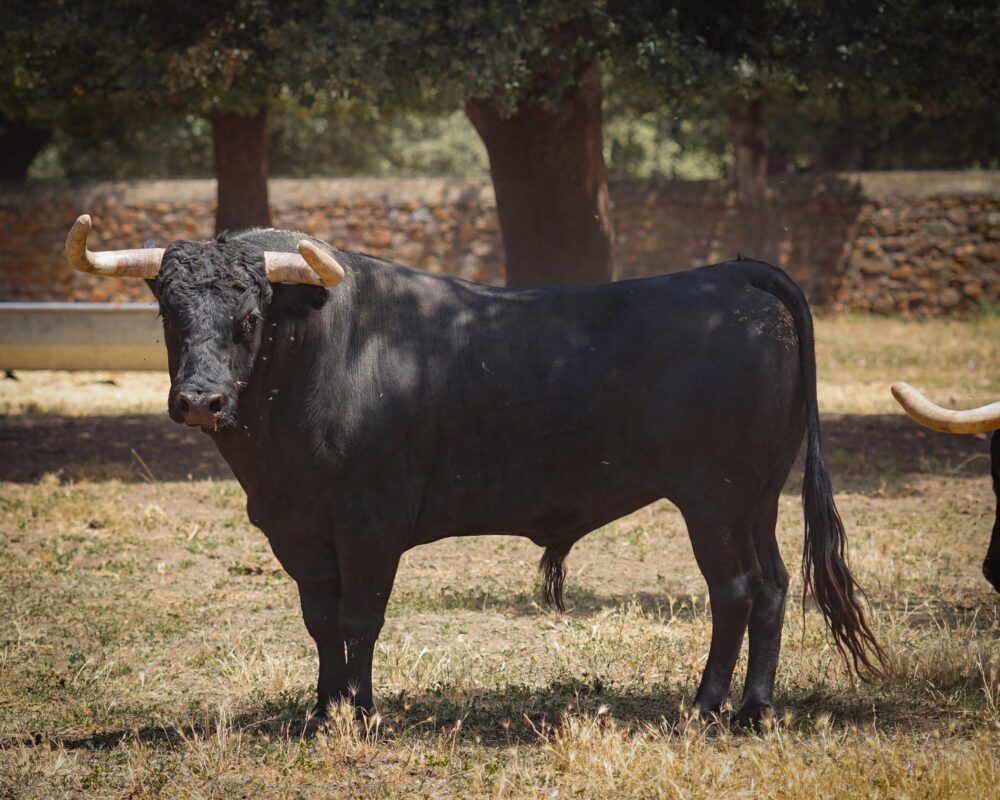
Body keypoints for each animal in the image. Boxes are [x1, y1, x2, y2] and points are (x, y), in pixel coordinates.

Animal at [143, 228, 884, 728]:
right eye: (169, 317)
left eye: (249, 318)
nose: (201, 401)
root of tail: (735, 275)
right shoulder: (297, 527)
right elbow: (322, 618)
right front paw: (326, 712)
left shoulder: (370, 520)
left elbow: (360, 615)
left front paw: (365, 711)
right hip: (759, 496)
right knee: (775, 586)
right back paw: (753, 710)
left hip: (714, 499)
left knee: (734, 589)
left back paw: (703, 708)